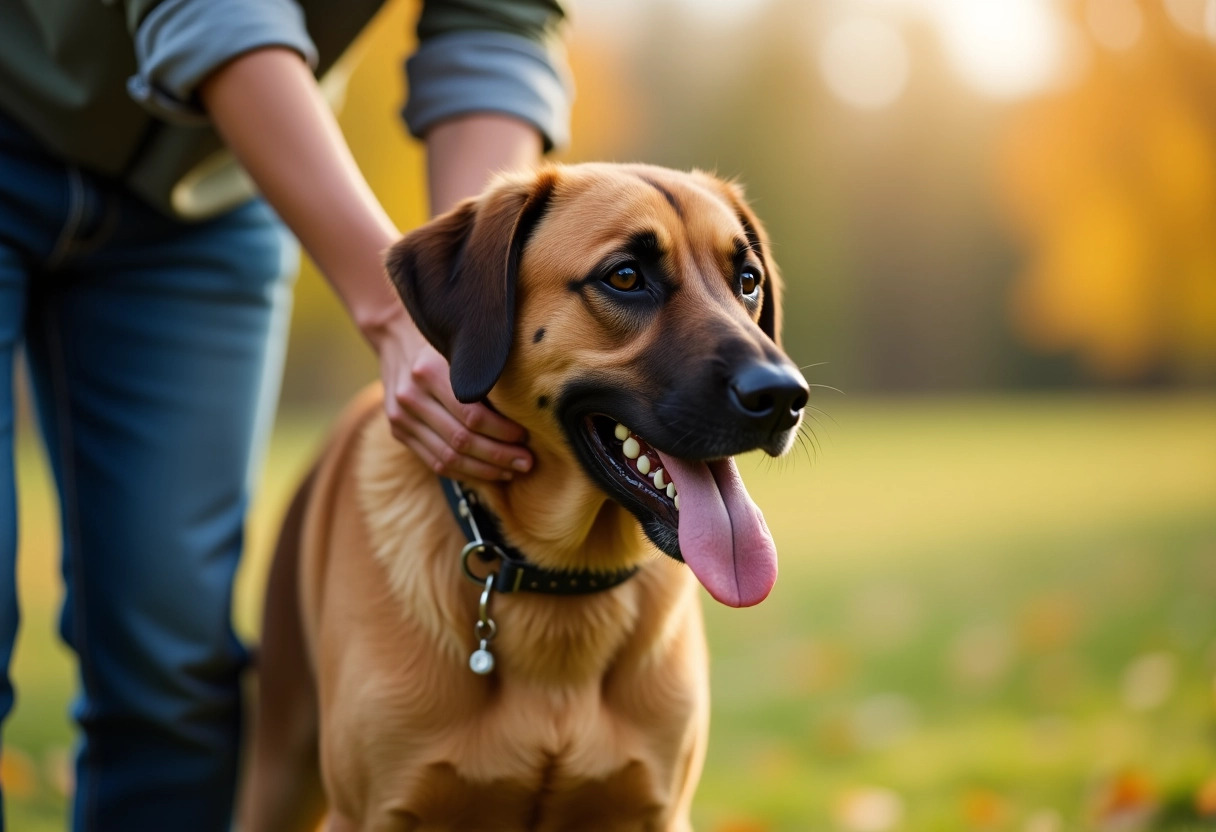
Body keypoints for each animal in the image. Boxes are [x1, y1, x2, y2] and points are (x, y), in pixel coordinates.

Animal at [239, 164, 807, 832]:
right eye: (625, 277)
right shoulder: (370, 813)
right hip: (280, 766)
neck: (563, 588)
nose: (784, 396)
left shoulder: (658, 811)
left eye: (747, 281)